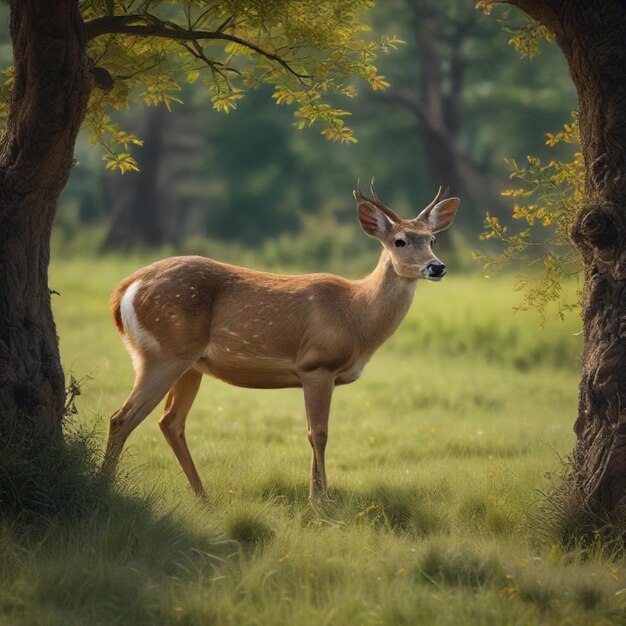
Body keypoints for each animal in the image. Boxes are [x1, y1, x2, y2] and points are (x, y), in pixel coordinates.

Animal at [103, 183, 458, 500]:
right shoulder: (317, 365)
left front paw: (317, 495)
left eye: (431, 238)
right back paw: (106, 486)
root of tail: (124, 290)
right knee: (122, 417)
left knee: (171, 422)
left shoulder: (315, 374)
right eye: (399, 241)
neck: (356, 315)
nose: (437, 266)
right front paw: (322, 501)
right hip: (164, 352)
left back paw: (203, 497)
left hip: (190, 365)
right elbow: (319, 433)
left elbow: (313, 433)